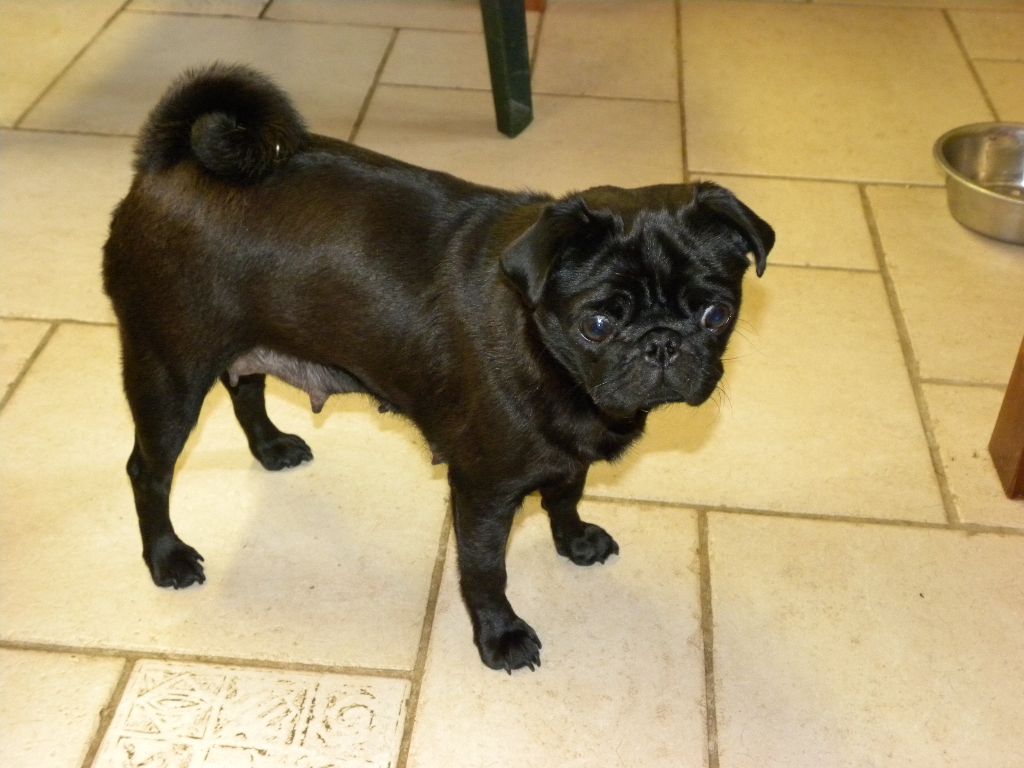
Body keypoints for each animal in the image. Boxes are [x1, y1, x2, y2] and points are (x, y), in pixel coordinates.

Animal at [103, 64, 774, 673]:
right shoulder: (482, 488)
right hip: (169, 371)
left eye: (717, 313)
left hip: (246, 342)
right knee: (147, 470)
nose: (662, 345)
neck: (546, 352)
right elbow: (485, 569)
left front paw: (575, 539)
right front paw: (500, 637)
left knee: (246, 389)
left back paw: (271, 447)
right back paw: (166, 557)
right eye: (599, 324)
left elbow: (565, 494)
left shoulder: (566, 455)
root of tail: (166, 164)